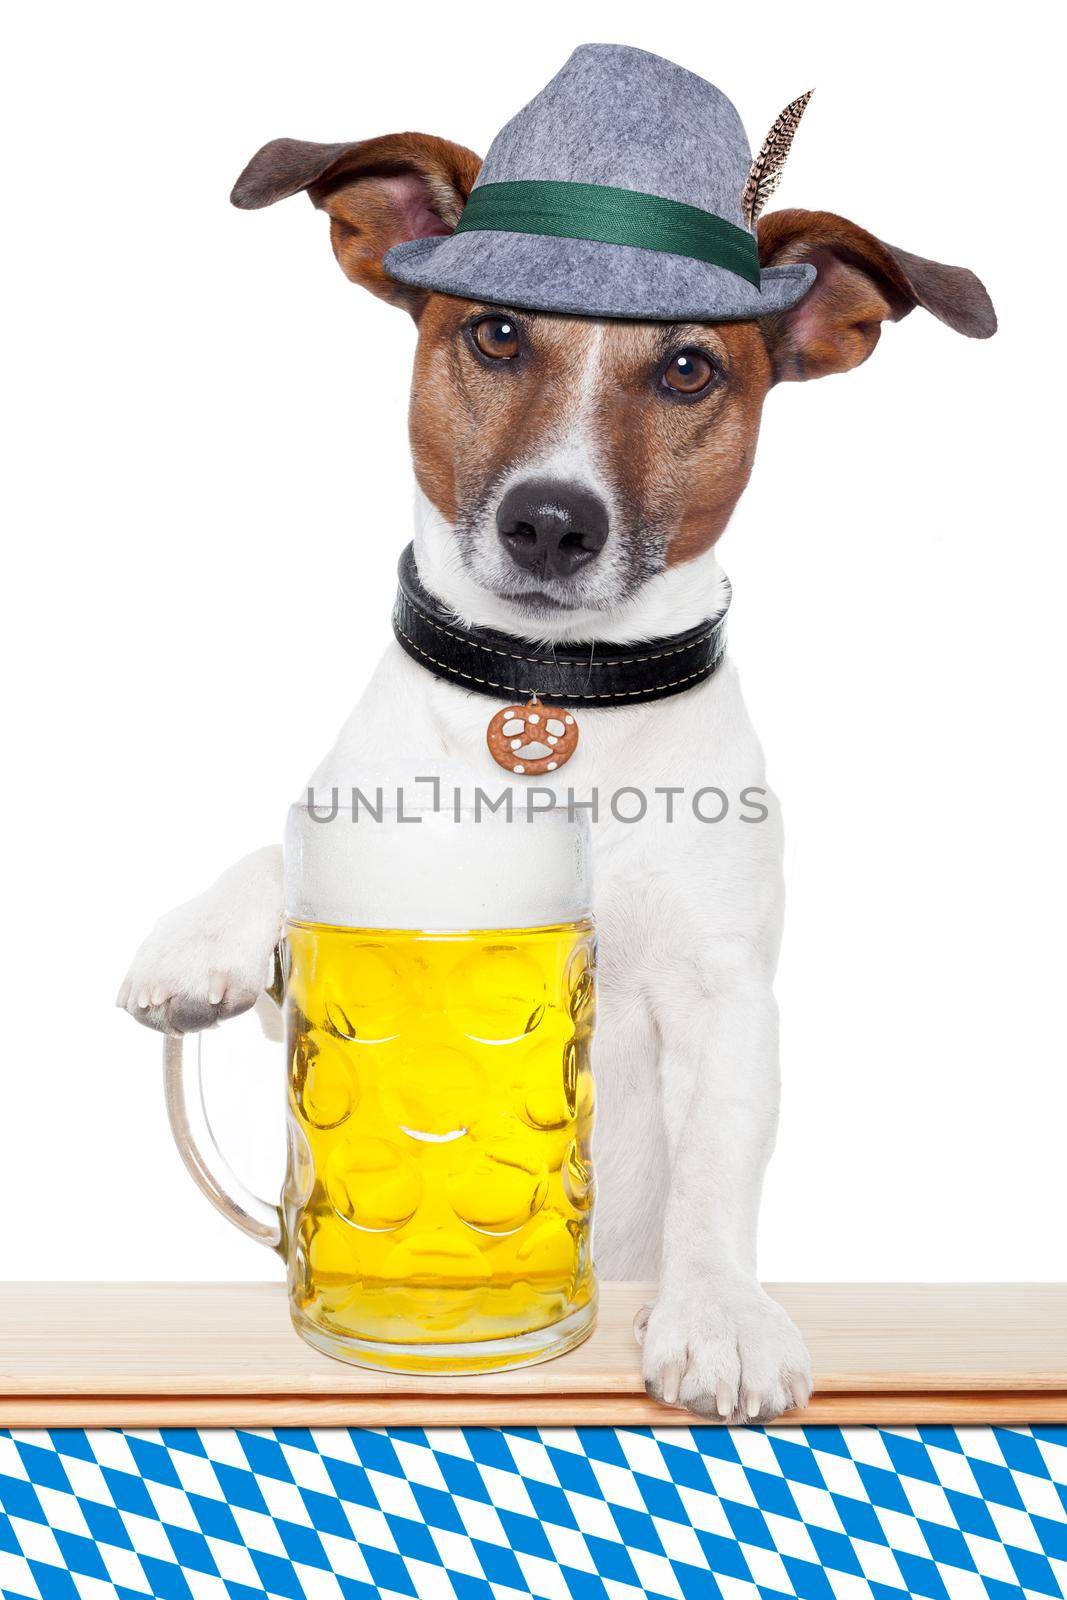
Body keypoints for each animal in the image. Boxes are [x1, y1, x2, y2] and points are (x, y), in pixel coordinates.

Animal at [120, 75, 998, 1427]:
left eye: (687, 367)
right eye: (493, 335)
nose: (550, 519)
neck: (556, 703)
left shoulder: (721, 996)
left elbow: (715, 1173)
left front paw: (716, 1314)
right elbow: (289, 856)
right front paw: (198, 935)